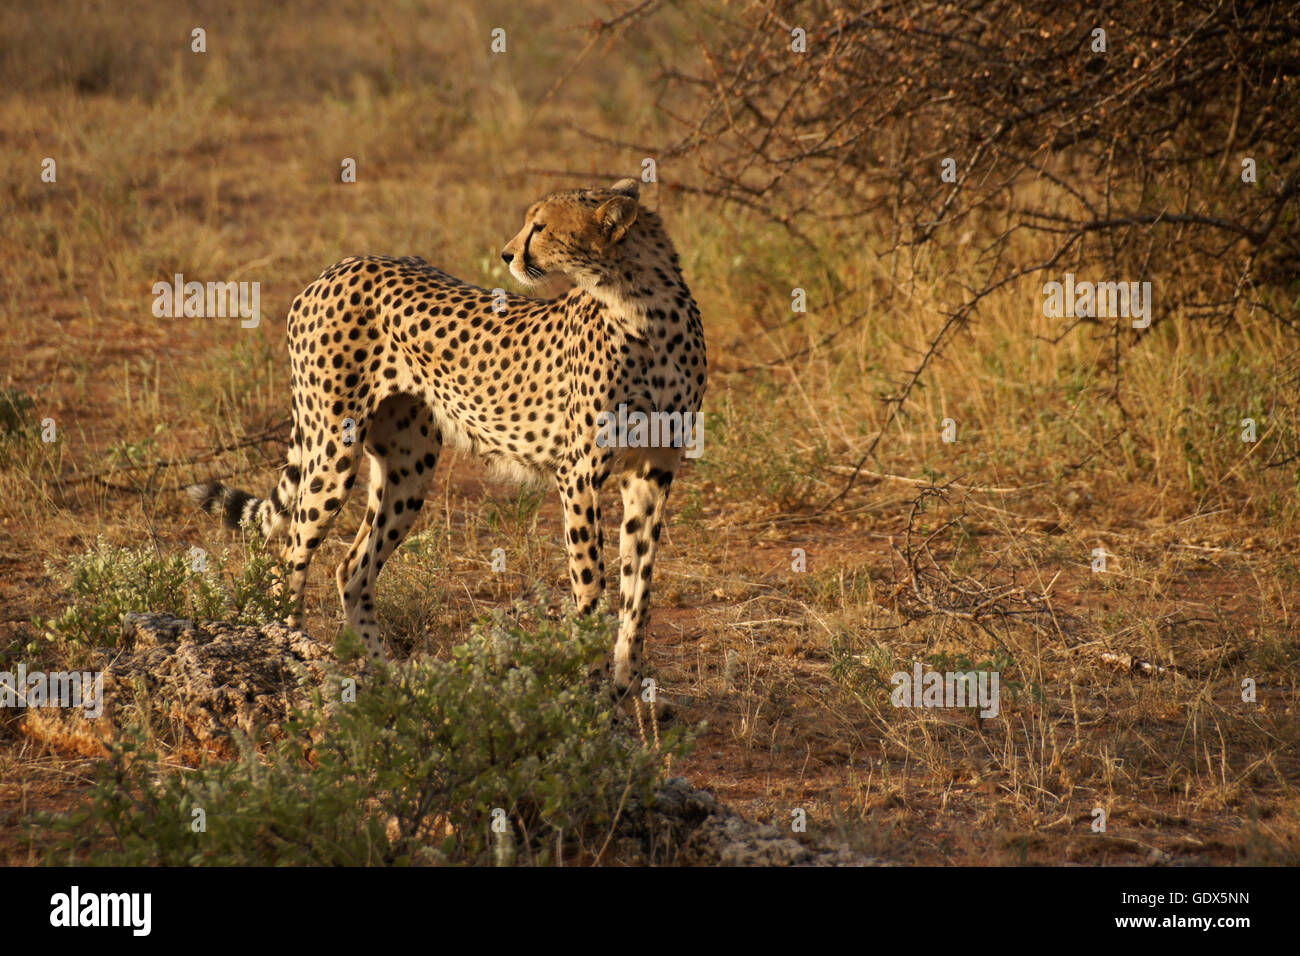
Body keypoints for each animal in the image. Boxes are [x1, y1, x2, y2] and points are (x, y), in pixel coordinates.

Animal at [188, 178, 707, 697]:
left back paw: (390, 680)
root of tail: (340, 265)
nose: (506, 254)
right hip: (333, 450)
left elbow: (638, 583)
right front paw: (592, 685)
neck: (642, 307)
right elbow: (590, 583)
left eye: (540, 227)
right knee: (291, 557)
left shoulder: (653, 471)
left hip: (409, 467)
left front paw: (630, 685)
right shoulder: (579, 474)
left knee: (352, 569)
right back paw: (296, 653)